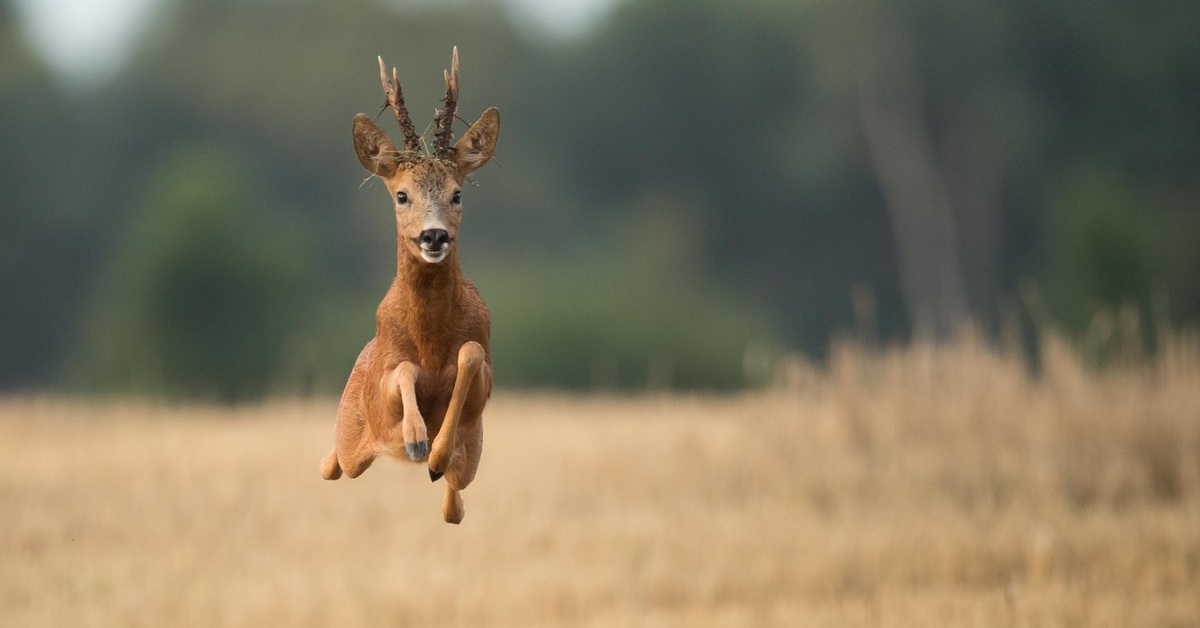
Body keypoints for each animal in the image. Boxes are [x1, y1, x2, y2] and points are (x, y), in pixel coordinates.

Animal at [319, 46, 496, 523]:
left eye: (457, 193)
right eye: (401, 195)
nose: (433, 236)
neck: (431, 341)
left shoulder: (484, 382)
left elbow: (471, 355)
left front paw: (433, 453)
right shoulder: (385, 381)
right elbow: (402, 371)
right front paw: (417, 438)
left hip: (473, 460)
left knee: (454, 505)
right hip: (351, 433)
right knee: (334, 464)